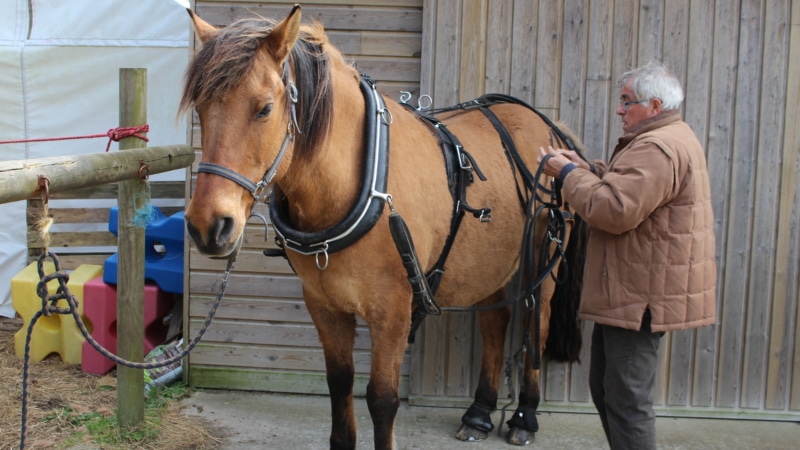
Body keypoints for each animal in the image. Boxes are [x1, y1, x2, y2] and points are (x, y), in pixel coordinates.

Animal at [181, 5, 580, 448]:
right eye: (200, 108)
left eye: (264, 108)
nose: (208, 225)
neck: (361, 182)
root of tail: (553, 132)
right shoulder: (325, 307)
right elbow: (340, 384)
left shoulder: (393, 312)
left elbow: (383, 399)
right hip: (489, 260)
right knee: (495, 324)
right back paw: (478, 412)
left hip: (542, 259)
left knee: (535, 326)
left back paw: (525, 415)